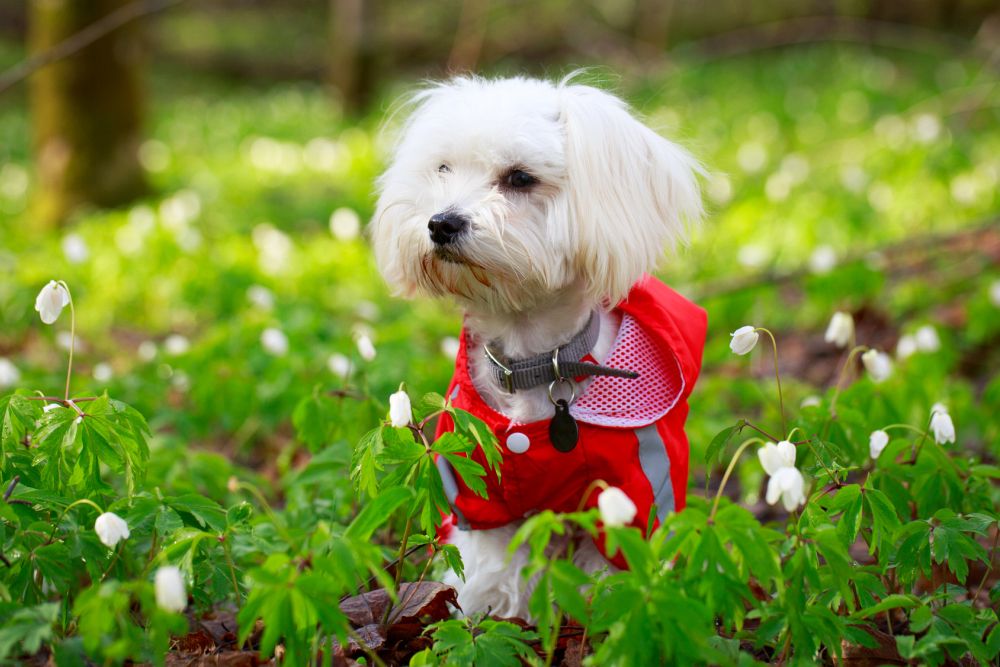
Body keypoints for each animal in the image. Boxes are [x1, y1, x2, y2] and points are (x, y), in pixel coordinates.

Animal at [372, 74, 708, 620]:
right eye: (442, 168)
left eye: (520, 178)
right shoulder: (479, 486)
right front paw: (485, 612)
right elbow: (493, 562)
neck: (533, 361)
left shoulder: (633, 485)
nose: (441, 222)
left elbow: (619, 556)